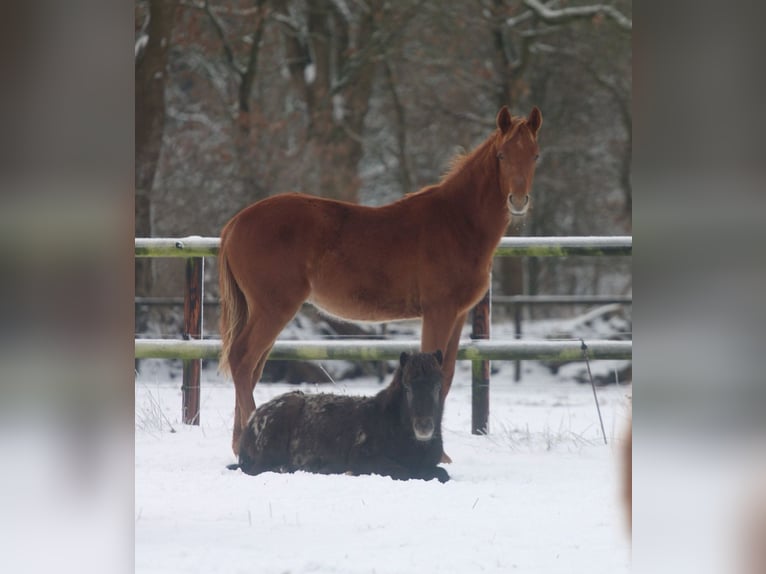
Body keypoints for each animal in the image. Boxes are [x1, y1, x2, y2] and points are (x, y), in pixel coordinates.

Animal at [219, 105, 542, 455]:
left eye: (535, 155)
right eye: (501, 155)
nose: (518, 201)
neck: (456, 224)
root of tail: (236, 223)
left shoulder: (458, 315)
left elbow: (446, 375)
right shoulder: (438, 312)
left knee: (251, 367)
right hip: (273, 308)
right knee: (242, 359)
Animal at [229, 351, 449, 483]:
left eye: (438, 387)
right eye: (407, 388)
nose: (424, 426)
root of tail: (251, 422)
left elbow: (441, 474)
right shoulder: (362, 458)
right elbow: (403, 472)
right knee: (260, 468)